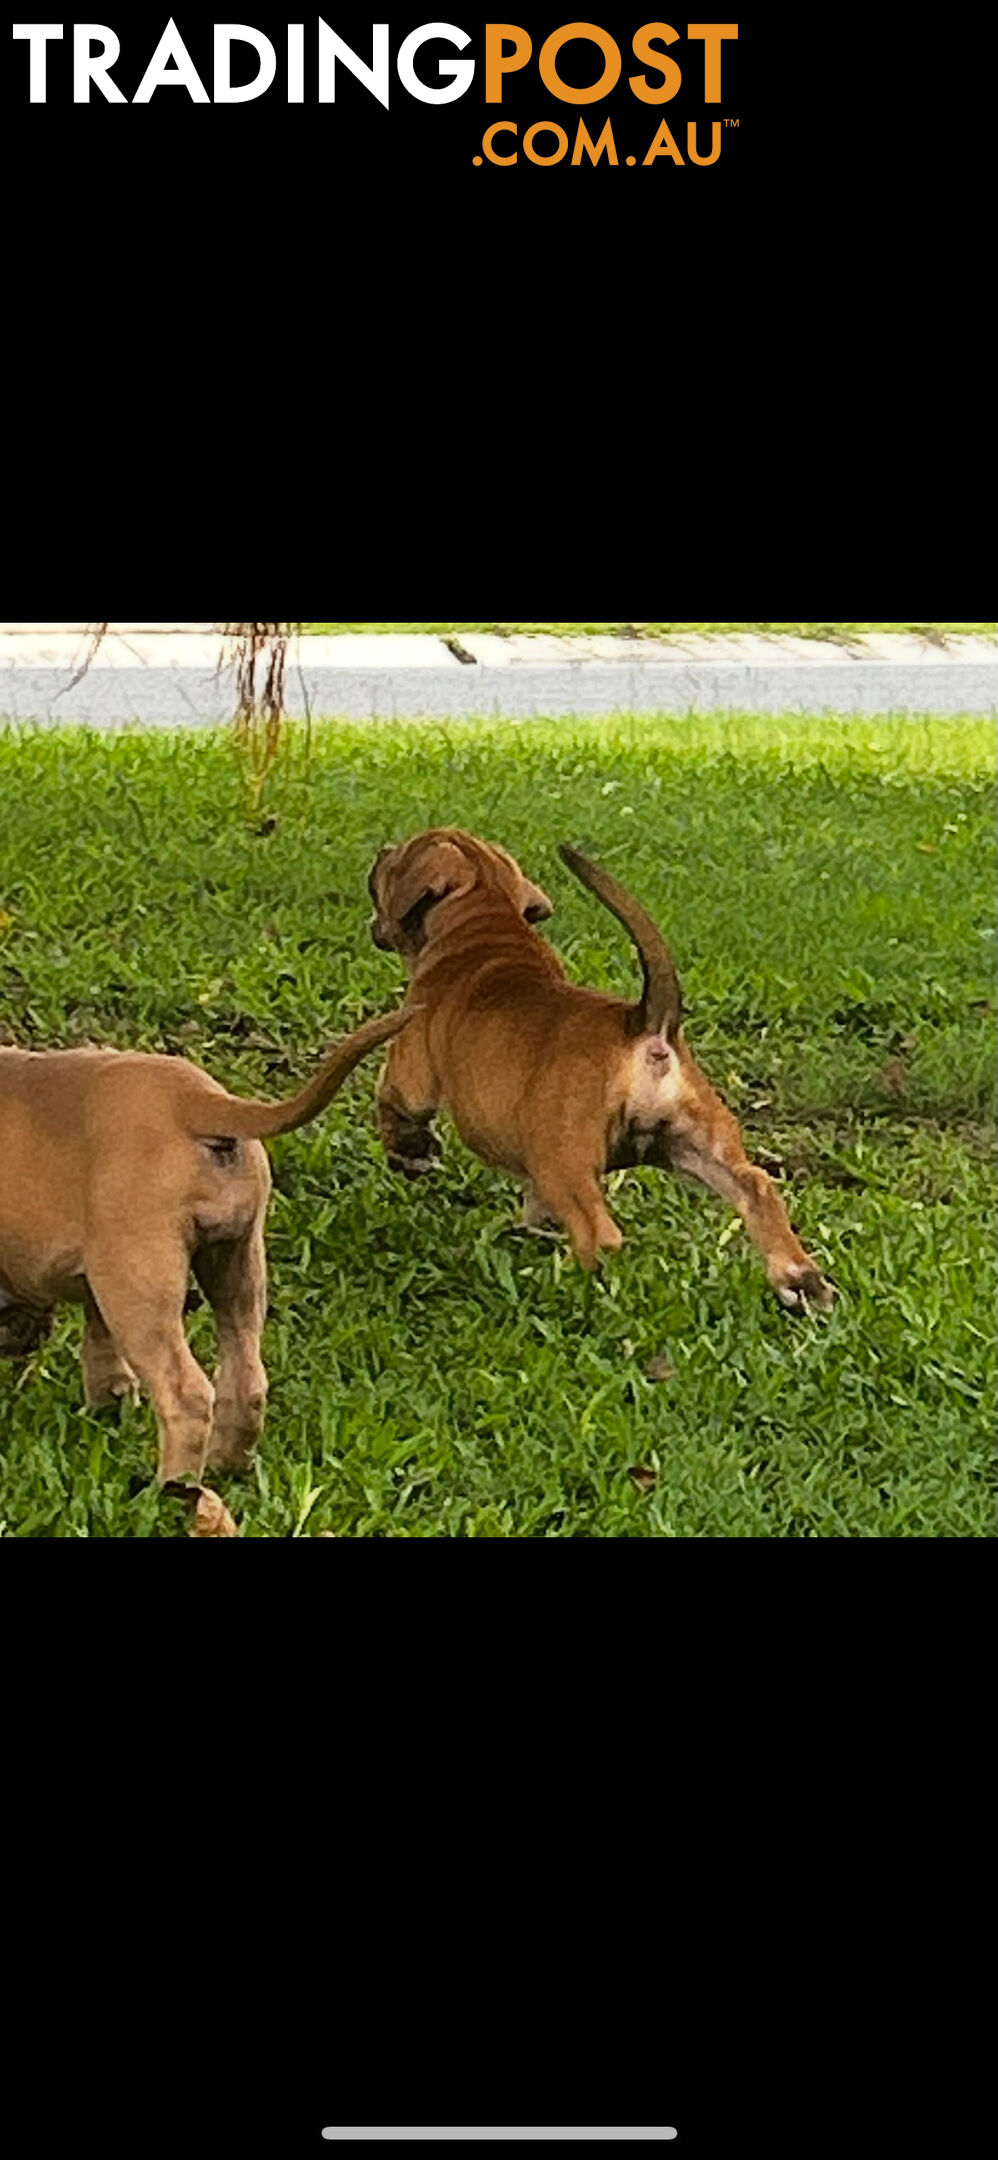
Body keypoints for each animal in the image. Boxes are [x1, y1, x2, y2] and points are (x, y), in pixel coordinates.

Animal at [0, 1006, 408, 1503]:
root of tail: (195, 1097)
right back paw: (227, 1465)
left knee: (187, 1394)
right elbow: (102, 1350)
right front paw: (108, 1408)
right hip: (235, 1265)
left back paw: (171, 1491)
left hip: (141, 1287)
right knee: (246, 1376)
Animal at [367, 825, 833, 1304]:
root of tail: (645, 1028)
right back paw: (801, 1280)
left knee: (599, 1231)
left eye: (395, 862)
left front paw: (410, 1155)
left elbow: (393, 1105)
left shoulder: (410, 1069)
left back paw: (577, 1283)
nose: (383, 850)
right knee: (756, 1186)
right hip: (694, 1144)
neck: (485, 916)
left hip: (563, 1160)